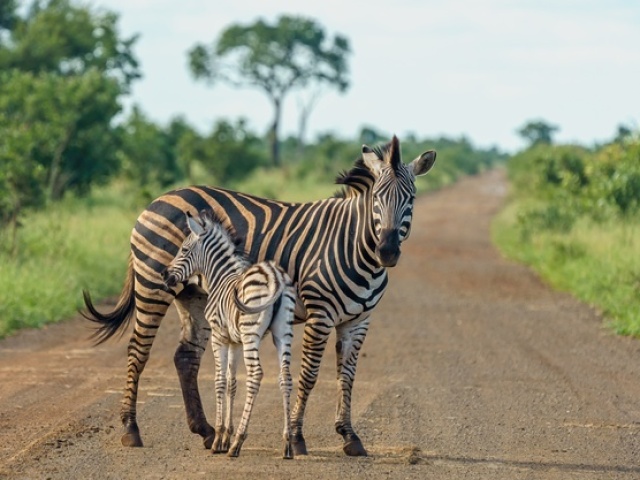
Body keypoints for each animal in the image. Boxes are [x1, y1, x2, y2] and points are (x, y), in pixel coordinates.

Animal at [164, 212, 296, 460]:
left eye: (184, 250)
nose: (164, 275)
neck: (220, 277)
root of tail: (275, 276)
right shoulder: (234, 341)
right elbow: (232, 382)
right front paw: (225, 434)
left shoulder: (218, 336)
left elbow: (219, 381)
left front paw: (219, 440)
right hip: (283, 333)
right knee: (285, 377)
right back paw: (287, 444)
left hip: (251, 333)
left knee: (255, 374)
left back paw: (238, 443)